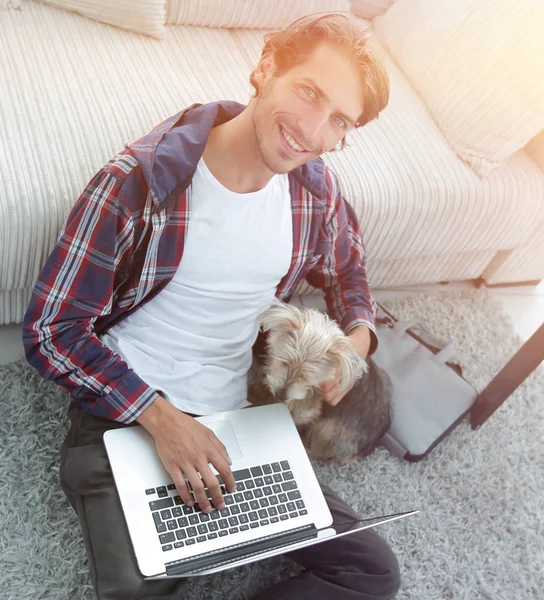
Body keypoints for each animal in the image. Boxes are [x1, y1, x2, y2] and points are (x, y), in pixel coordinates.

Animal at [249, 302, 394, 466]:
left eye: (307, 377)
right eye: (284, 362)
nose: (280, 395)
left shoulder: (309, 401)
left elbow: (296, 411)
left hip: (328, 430)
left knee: (320, 452)